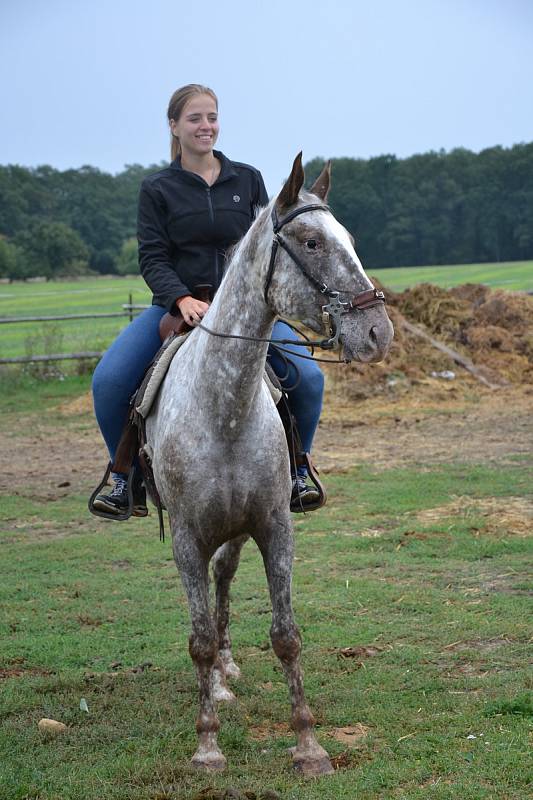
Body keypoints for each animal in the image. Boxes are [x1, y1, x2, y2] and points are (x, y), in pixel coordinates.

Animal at [144, 152, 390, 776]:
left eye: (350, 240)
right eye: (310, 241)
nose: (378, 332)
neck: (224, 408)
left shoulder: (275, 526)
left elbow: (286, 635)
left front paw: (308, 744)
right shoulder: (186, 538)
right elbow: (198, 639)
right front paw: (207, 746)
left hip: (236, 529)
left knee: (225, 577)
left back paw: (228, 671)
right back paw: (218, 683)